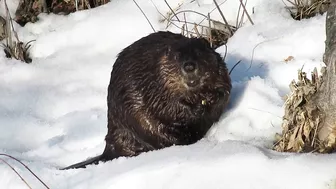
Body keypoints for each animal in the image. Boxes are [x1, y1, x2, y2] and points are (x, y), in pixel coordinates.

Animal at [61, 30, 231, 169]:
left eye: (199, 52)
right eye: (177, 57)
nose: (189, 66)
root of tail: (110, 149)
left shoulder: (220, 70)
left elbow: (225, 89)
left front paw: (213, 97)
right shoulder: (156, 81)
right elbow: (168, 105)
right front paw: (195, 107)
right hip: (140, 122)